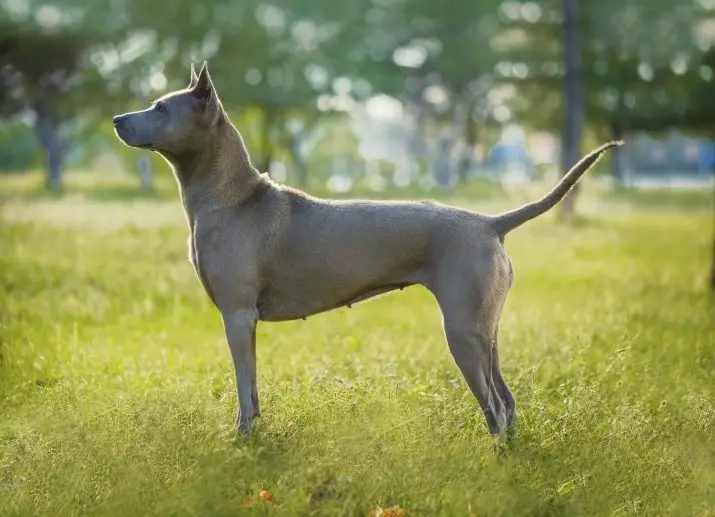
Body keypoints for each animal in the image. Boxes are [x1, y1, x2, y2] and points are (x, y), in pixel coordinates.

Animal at [114, 62, 624, 438]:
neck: (232, 196)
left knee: (495, 407)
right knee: (508, 401)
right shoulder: (247, 322)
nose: (117, 119)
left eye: (160, 106)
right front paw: (254, 430)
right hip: (485, 329)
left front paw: (241, 438)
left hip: (462, 330)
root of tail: (489, 223)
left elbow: (242, 386)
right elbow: (253, 386)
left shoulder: (238, 316)